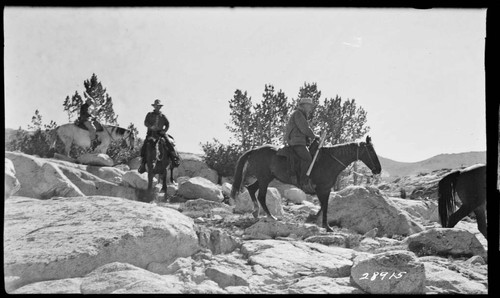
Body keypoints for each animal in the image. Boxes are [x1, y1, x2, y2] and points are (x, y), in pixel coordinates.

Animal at [231, 136, 382, 233]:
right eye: (371, 151)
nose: (378, 169)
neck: (329, 161)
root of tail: (255, 150)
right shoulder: (323, 189)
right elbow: (325, 206)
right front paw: (327, 226)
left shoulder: (325, 190)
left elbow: (323, 206)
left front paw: (315, 218)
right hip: (264, 178)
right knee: (261, 196)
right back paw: (270, 216)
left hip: (265, 178)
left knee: (251, 189)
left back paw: (256, 212)